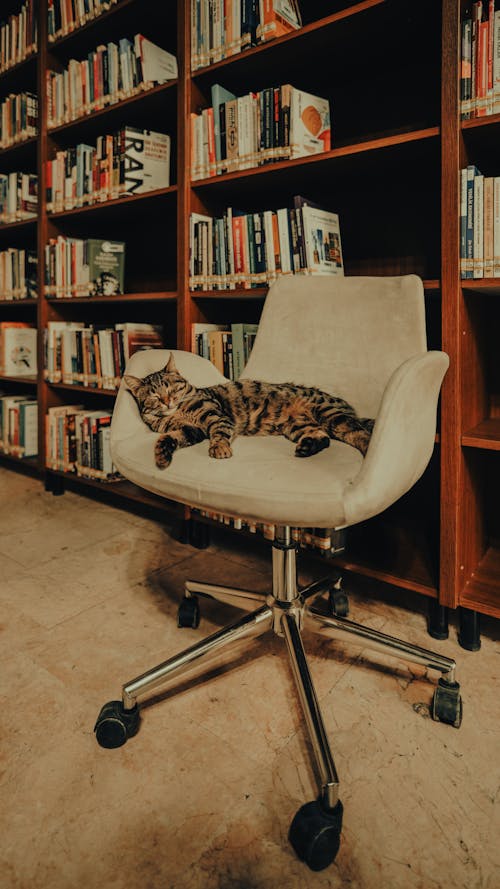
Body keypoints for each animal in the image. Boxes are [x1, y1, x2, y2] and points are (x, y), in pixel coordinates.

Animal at [125, 352, 376, 472]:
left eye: (171, 388)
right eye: (154, 396)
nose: (168, 402)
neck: (176, 414)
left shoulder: (216, 417)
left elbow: (218, 433)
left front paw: (219, 448)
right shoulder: (190, 430)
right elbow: (167, 438)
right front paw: (161, 456)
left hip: (330, 415)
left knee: (362, 435)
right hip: (296, 425)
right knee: (322, 437)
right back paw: (306, 447)